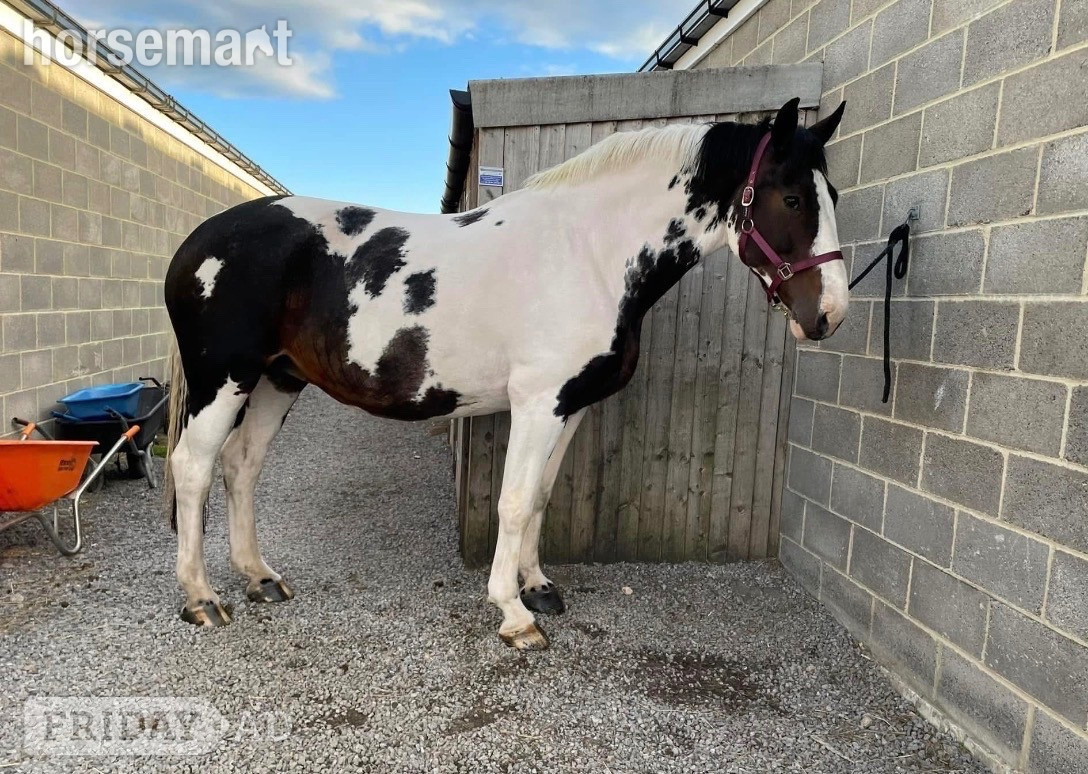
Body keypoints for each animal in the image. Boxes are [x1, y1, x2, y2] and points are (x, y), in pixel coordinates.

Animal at [163, 97, 849, 650]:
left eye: (833, 197)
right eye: (791, 197)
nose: (830, 314)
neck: (589, 253)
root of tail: (197, 241)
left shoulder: (572, 405)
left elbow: (540, 496)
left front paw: (538, 585)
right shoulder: (537, 403)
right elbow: (514, 501)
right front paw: (514, 614)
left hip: (277, 380)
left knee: (241, 466)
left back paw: (259, 578)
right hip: (223, 378)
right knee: (193, 467)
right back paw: (201, 598)